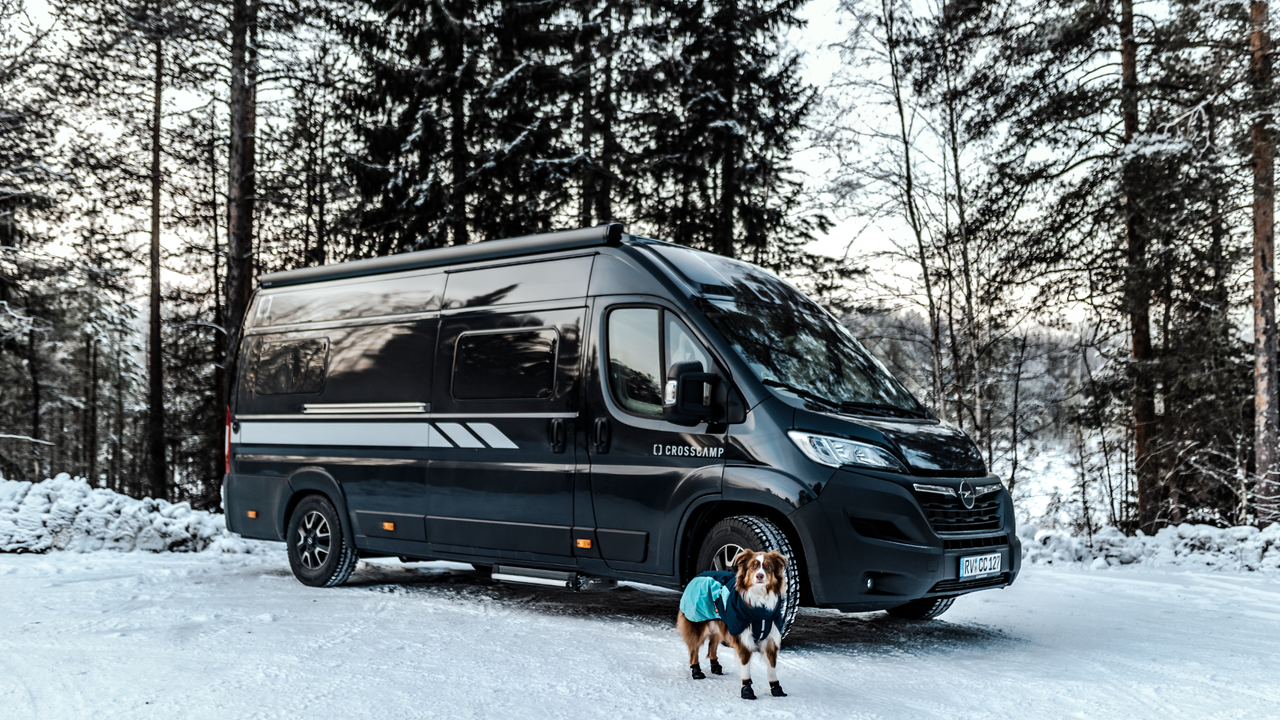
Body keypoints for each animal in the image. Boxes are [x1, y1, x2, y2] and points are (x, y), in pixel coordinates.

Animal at [675, 548, 783, 696]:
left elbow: (772, 668)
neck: (760, 608)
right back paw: (696, 671)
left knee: (712, 645)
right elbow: (746, 666)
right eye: (753, 566)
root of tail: (698, 576)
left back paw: (715, 666)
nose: (760, 576)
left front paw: (776, 688)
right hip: (696, 621)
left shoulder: (771, 637)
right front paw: (747, 690)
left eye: (768, 567)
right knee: (694, 648)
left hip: (719, 622)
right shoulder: (743, 635)